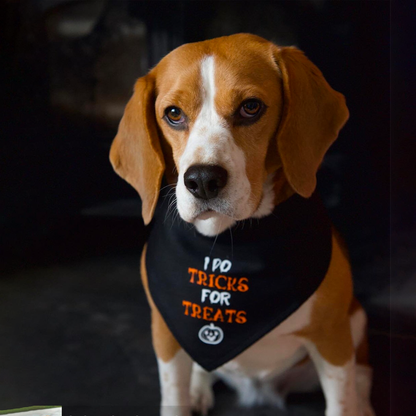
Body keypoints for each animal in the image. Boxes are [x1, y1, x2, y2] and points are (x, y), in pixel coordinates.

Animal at [109, 33, 376, 416]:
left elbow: (342, 401)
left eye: (251, 107)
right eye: (173, 114)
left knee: (363, 377)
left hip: (355, 321)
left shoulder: (332, 340)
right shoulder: (166, 335)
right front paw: (187, 396)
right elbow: (174, 396)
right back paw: (199, 391)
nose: (202, 180)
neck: (226, 243)